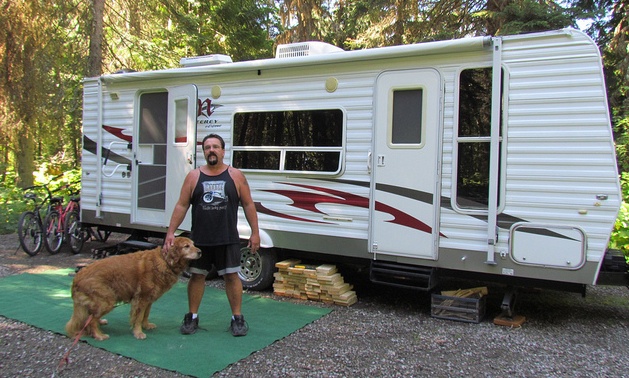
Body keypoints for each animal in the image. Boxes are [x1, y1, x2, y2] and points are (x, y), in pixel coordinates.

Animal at [66, 236, 199, 340]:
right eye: (186, 246)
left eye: (193, 244)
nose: (200, 252)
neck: (165, 261)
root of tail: (77, 277)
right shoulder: (141, 299)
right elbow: (139, 317)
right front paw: (138, 332)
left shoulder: (149, 299)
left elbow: (146, 314)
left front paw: (146, 325)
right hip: (107, 300)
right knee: (91, 319)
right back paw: (98, 335)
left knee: (90, 316)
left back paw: (100, 322)